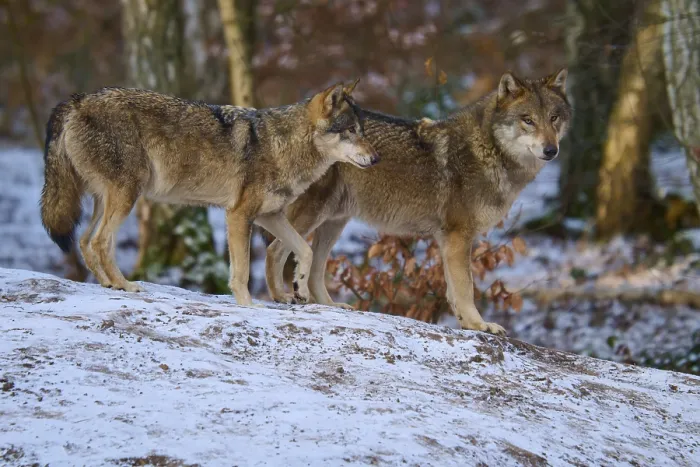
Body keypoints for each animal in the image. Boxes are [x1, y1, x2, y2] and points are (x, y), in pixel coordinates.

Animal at [40, 80, 378, 307]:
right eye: (350, 131)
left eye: (362, 130)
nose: (376, 159)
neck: (283, 145)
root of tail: (77, 100)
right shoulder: (239, 215)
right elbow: (241, 271)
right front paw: (248, 307)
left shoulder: (270, 215)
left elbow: (304, 250)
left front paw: (299, 289)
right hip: (125, 196)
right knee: (100, 241)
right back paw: (125, 285)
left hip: (105, 199)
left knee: (85, 242)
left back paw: (110, 285)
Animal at [265, 69, 571, 335]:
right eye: (528, 120)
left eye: (554, 118)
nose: (551, 150)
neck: (489, 150)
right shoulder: (458, 236)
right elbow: (465, 288)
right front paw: (480, 325)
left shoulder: (448, 240)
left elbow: (453, 291)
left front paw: (466, 324)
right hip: (313, 216)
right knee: (274, 251)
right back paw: (281, 297)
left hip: (335, 222)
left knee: (314, 268)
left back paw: (330, 306)